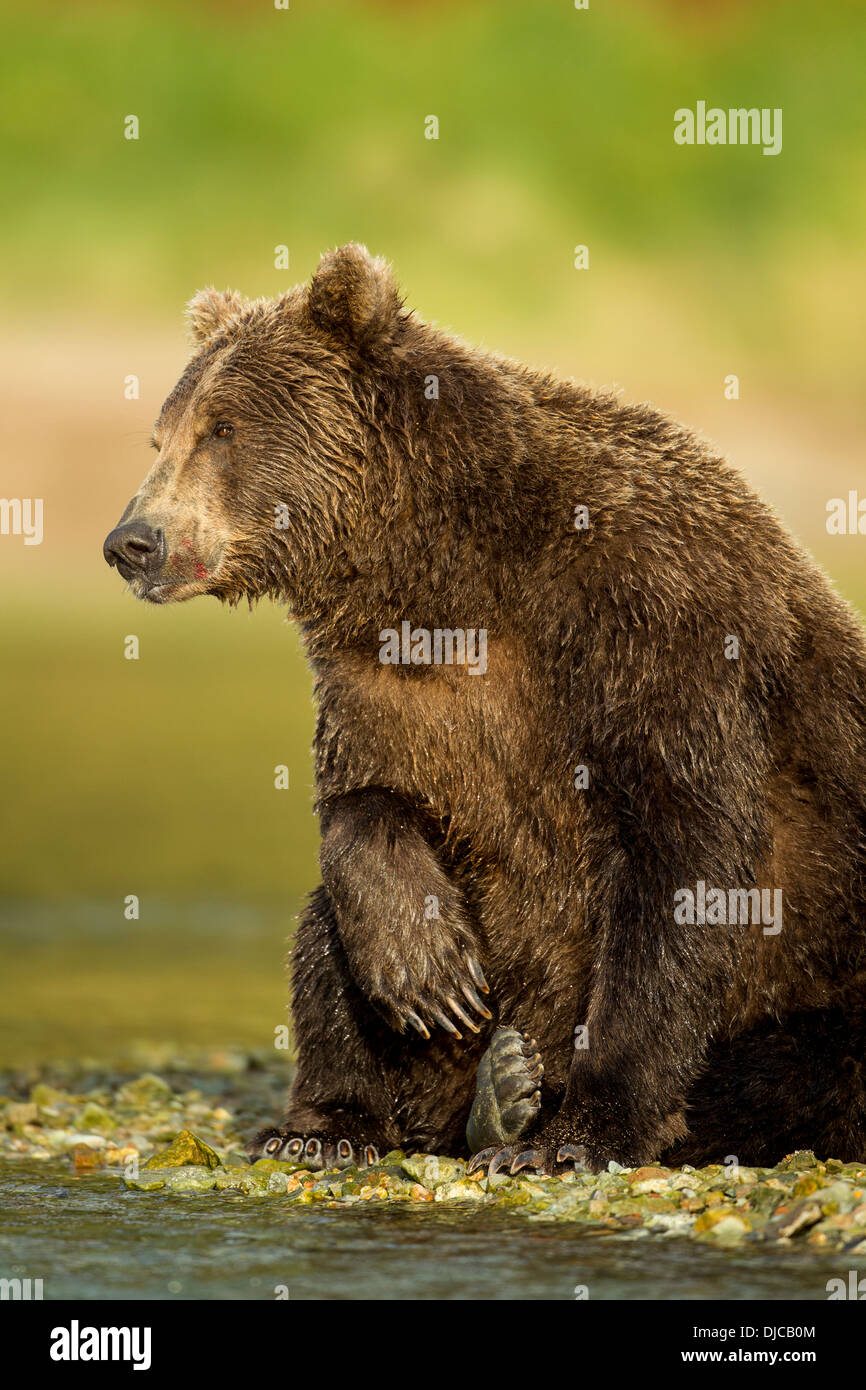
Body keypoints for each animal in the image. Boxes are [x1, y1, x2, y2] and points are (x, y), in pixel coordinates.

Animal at [104, 247, 866, 1173]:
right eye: (162, 434)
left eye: (221, 428)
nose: (132, 541)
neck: (441, 569)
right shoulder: (382, 677)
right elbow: (364, 798)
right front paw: (428, 970)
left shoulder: (659, 623)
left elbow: (683, 855)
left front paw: (578, 1134)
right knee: (323, 931)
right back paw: (345, 1121)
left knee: (801, 1067)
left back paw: (515, 1113)